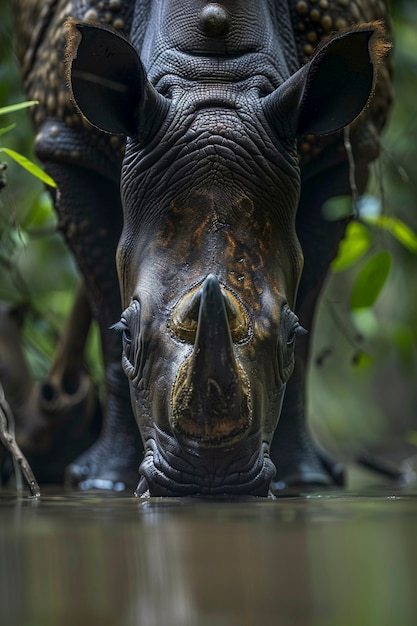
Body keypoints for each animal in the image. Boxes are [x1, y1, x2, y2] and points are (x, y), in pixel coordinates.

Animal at [11, 2, 392, 494]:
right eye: (128, 333)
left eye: (290, 335)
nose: (210, 481)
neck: (215, 78)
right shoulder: (68, 144)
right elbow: (103, 293)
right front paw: (102, 484)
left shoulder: (343, 153)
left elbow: (306, 296)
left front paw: (306, 481)